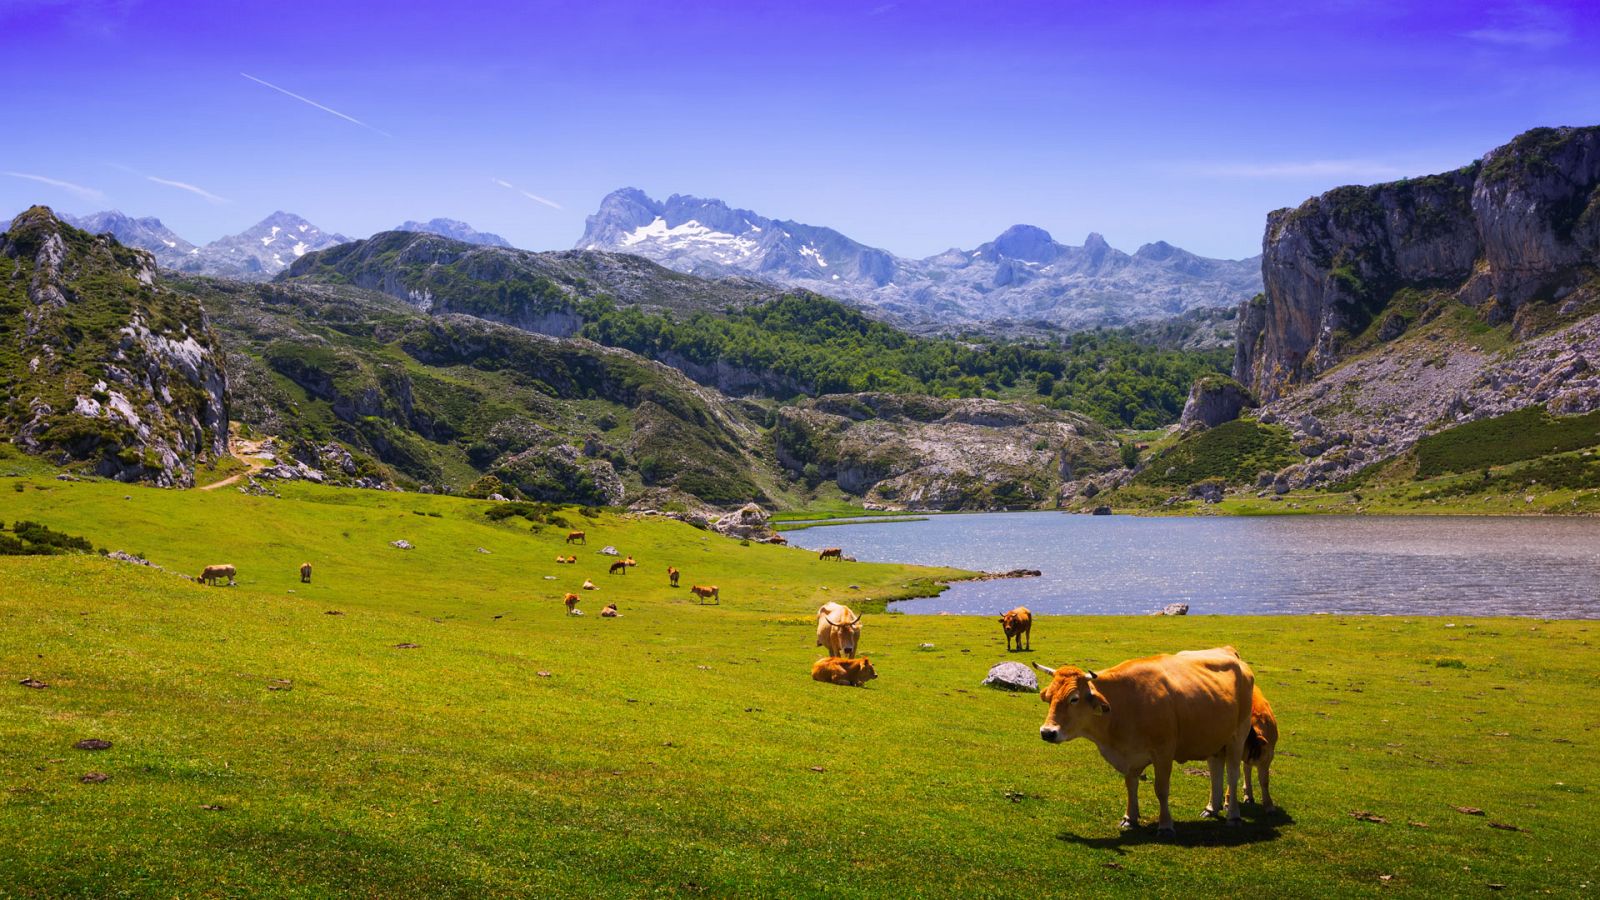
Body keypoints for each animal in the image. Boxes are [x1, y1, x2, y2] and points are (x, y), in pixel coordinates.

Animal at [1036, 640, 1260, 832]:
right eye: (1049, 697)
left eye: (1074, 698)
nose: (1047, 732)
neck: (1124, 704)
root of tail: (1229, 652)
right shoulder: (1129, 754)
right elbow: (1130, 785)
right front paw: (1129, 818)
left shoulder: (1163, 752)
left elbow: (1161, 789)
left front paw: (1165, 825)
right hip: (1213, 738)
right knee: (1215, 769)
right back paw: (1211, 807)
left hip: (1237, 736)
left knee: (1233, 774)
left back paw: (1233, 816)